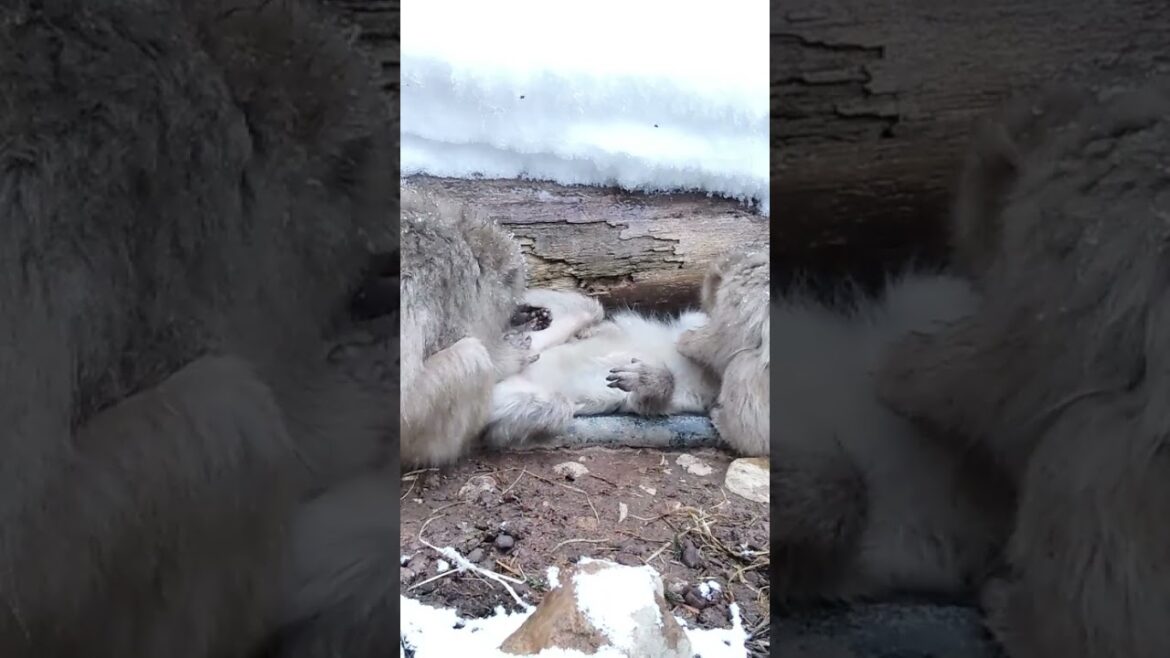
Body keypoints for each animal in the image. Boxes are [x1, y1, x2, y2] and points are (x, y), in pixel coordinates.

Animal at [482, 288, 720, 447]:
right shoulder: (690, 326)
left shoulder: (697, 398)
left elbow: (647, 403)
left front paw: (649, 378)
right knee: (589, 310)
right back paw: (520, 323)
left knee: (554, 406)